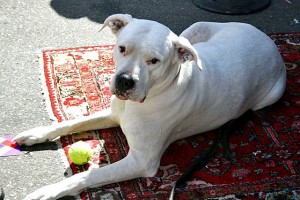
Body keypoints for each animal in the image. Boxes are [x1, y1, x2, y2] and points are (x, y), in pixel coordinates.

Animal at [14, 14, 286, 200]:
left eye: (154, 61)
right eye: (122, 48)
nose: (125, 81)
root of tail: (267, 40)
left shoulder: (141, 161)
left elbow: (89, 175)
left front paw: (49, 191)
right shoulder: (113, 113)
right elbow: (72, 122)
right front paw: (36, 134)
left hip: (270, 96)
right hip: (195, 29)